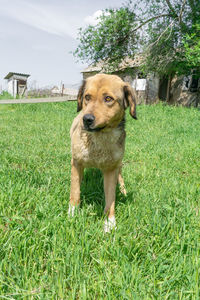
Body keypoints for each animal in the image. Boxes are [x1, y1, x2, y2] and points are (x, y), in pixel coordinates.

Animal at [69, 73, 138, 232]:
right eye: (87, 97)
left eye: (108, 99)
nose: (87, 119)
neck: (99, 139)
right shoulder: (76, 162)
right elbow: (75, 192)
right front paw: (72, 214)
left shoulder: (111, 169)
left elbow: (110, 199)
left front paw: (110, 222)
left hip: (119, 165)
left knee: (121, 178)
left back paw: (123, 191)